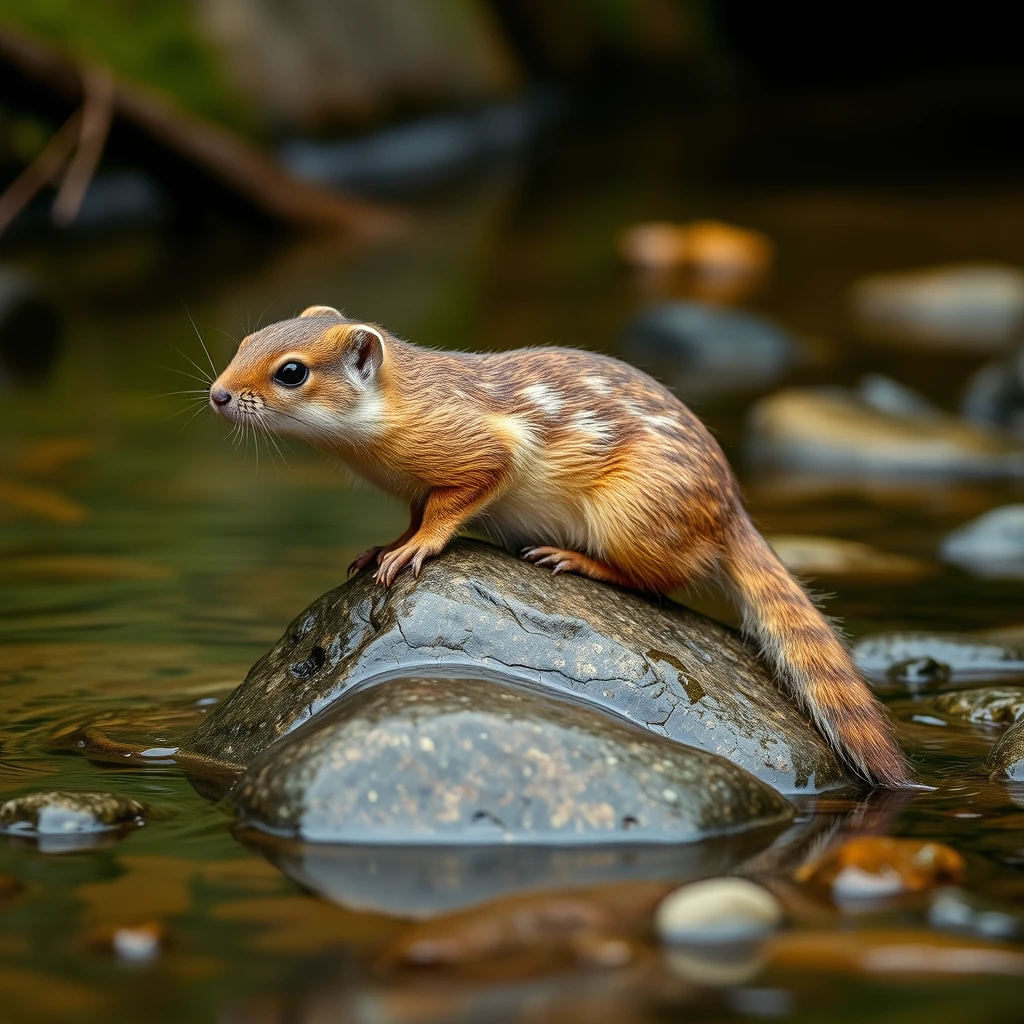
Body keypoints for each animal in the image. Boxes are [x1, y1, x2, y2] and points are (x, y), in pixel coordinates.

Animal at [205, 307, 905, 786]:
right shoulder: (414, 486)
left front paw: (413, 550)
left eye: (291, 372)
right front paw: (382, 545)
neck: (398, 406)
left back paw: (575, 559)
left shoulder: (478, 456)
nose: (216, 393)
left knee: (656, 581)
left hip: (628, 516)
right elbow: (412, 514)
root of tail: (733, 510)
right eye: (242, 344)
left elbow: (445, 513)